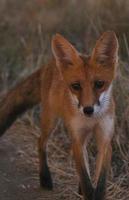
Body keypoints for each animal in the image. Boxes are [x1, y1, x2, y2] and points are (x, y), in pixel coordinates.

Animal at [0, 30, 118, 198]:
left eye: (99, 84)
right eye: (76, 86)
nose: (88, 109)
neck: (91, 120)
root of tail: (50, 64)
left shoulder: (105, 140)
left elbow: (100, 182)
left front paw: (95, 193)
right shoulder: (76, 138)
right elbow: (86, 181)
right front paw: (87, 193)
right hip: (50, 121)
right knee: (40, 142)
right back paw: (45, 179)